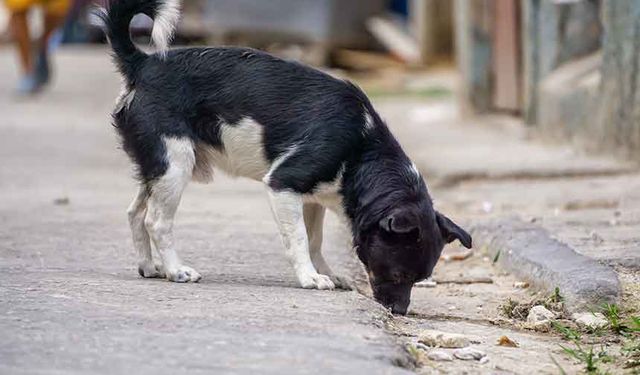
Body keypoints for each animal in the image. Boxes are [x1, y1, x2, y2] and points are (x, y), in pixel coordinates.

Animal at [100, 0, 470, 316]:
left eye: (419, 280)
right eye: (396, 275)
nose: (399, 312)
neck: (362, 149)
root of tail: (143, 64)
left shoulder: (314, 199)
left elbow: (316, 240)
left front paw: (326, 272)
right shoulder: (283, 185)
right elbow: (300, 239)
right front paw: (310, 278)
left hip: (159, 167)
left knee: (135, 212)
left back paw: (151, 267)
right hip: (175, 164)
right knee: (156, 221)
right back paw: (176, 269)